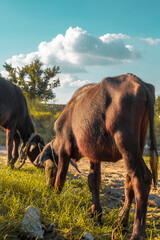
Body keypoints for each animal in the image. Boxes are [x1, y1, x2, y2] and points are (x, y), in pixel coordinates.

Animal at [33, 73, 158, 240]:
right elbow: (93, 180)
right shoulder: (94, 155)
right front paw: (96, 214)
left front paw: (55, 197)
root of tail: (142, 85)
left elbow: (61, 178)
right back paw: (120, 225)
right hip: (138, 142)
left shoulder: (64, 150)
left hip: (125, 141)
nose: (47, 187)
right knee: (129, 180)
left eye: (47, 167)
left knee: (141, 179)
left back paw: (136, 233)